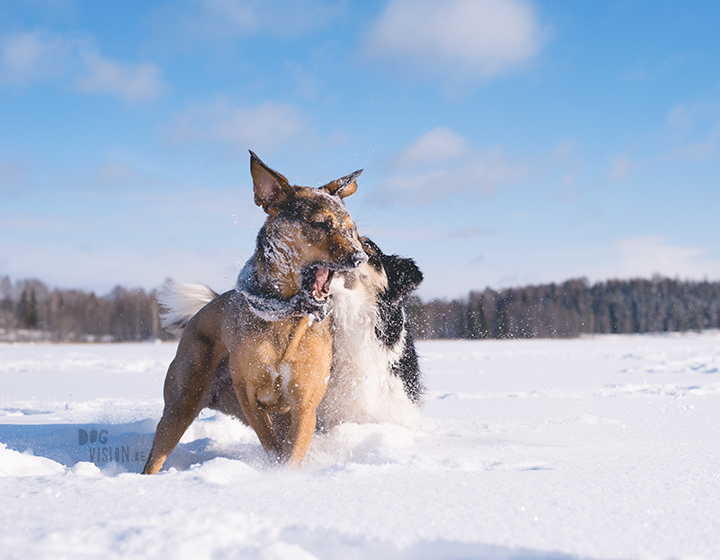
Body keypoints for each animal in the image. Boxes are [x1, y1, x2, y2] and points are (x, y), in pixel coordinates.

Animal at [142, 150, 366, 472]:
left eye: (352, 230)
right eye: (320, 224)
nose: (359, 257)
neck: (286, 315)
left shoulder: (304, 405)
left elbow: (291, 452)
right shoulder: (249, 396)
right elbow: (271, 445)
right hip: (179, 405)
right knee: (156, 455)